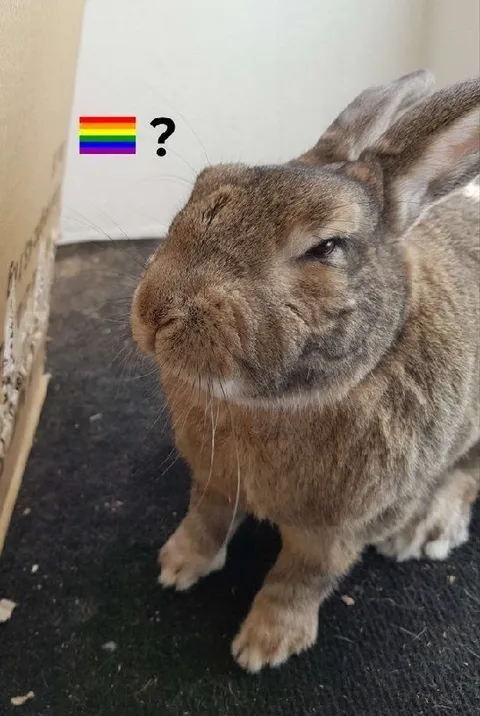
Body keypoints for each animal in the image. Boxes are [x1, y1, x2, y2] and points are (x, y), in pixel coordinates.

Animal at [131, 70, 480, 672]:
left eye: (328, 247)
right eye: (205, 186)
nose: (156, 312)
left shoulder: (336, 533)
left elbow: (300, 579)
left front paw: (265, 646)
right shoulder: (214, 477)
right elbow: (205, 517)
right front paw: (177, 566)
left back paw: (425, 530)